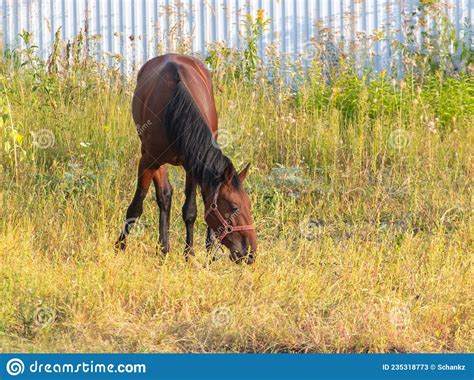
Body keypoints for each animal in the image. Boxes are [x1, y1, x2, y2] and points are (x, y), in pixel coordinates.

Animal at [114, 53, 256, 264]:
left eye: (249, 205)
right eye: (234, 207)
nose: (250, 253)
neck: (175, 109)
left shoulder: (192, 166)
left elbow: (190, 211)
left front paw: (189, 254)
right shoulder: (148, 161)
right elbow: (136, 207)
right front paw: (119, 247)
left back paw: (207, 247)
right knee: (165, 196)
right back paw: (163, 248)